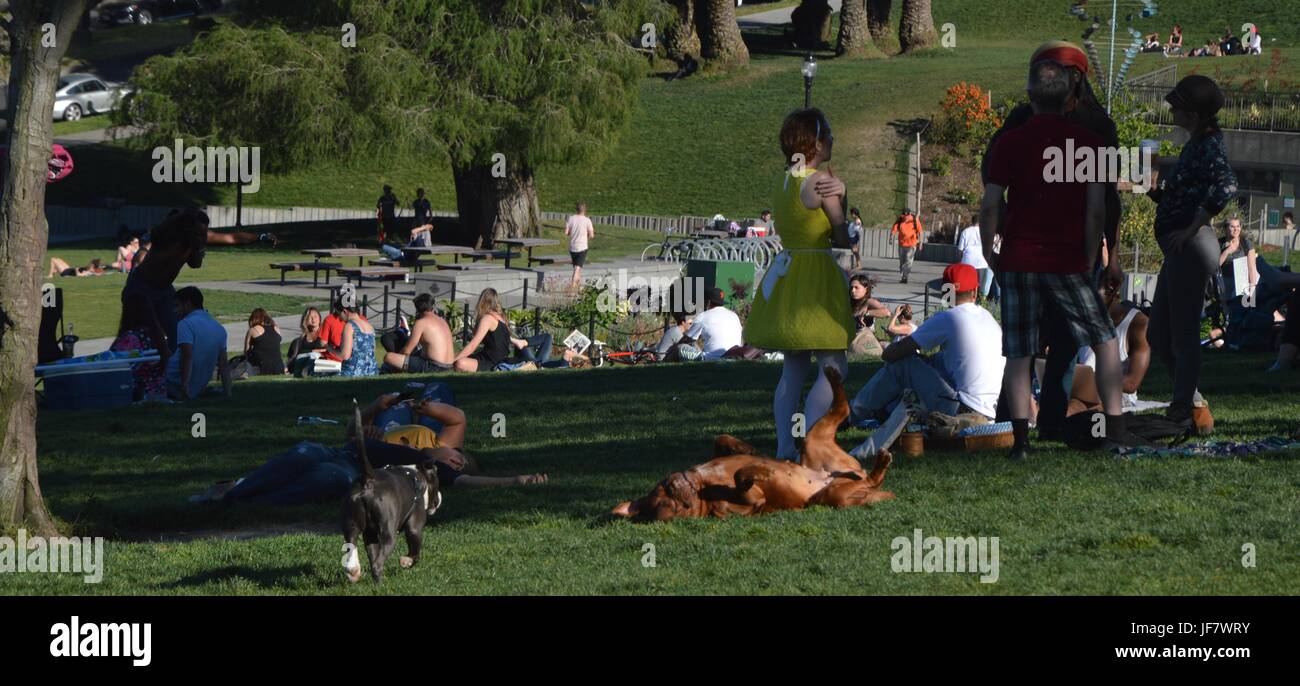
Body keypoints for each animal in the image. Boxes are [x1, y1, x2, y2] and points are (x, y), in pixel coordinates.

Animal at [611, 368, 894, 519]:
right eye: (672, 506)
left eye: (663, 491)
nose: (675, 487)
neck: (701, 484)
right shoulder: (746, 505)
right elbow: (742, 478)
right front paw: (761, 470)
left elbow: (723, 440)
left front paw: (747, 451)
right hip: (832, 496)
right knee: (866, 481)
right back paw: (879, 464)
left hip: (814, 444)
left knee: (842, 409)